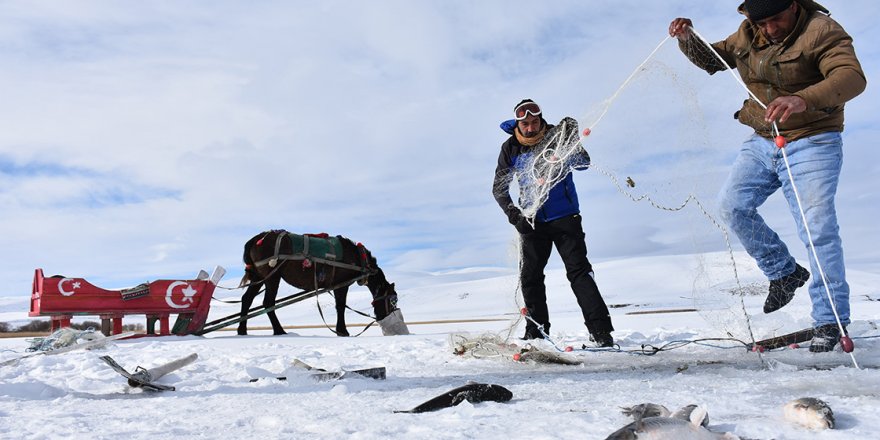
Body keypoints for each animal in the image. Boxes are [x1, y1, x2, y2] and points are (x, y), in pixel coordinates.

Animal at [235, 229, 398, 336]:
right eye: (393, 300)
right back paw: (279, 330)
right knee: (268, 303)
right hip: (272, 276)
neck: (358, 259)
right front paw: (342, 331)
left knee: (247, 299)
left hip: (258, 278)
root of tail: (255, 240)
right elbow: (340, 307)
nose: (385, 318)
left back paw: (242, 330)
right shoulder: (342, 284)